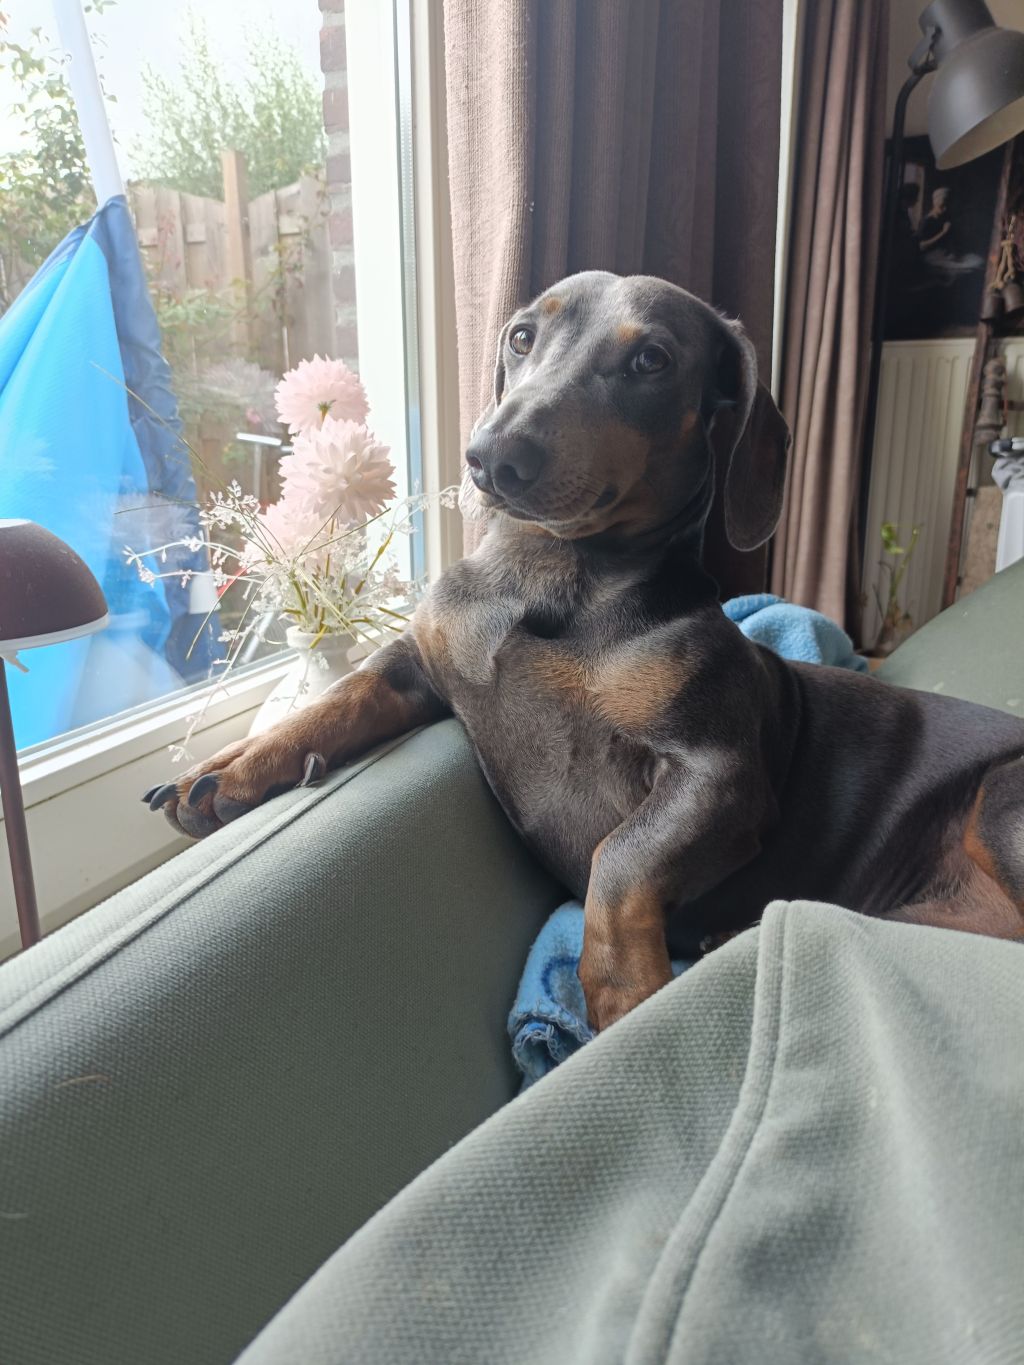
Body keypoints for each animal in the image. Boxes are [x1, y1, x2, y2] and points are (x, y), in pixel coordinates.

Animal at [144, 271, 1024, 1032]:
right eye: (523, 335)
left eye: (651, 360)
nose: (494, 456)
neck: (551, 579)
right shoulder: (419, 665)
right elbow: (341, 698)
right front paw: (229, 768)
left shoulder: (718, 771)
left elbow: (618, 857)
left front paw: (627, 991)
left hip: (1002, 801)